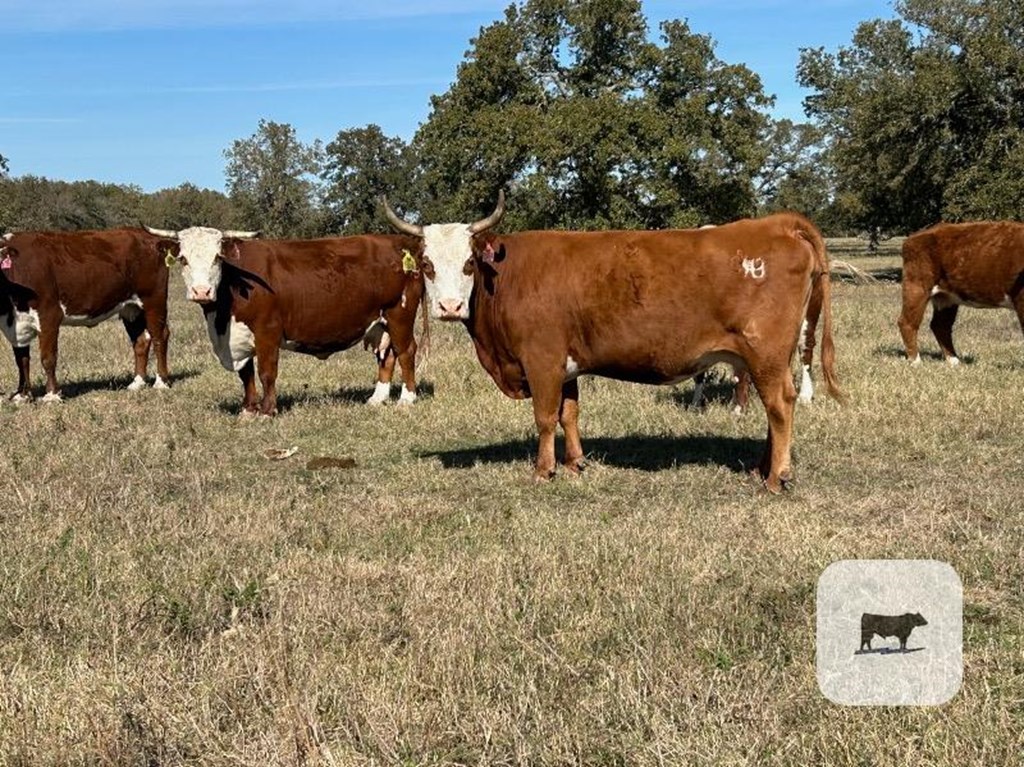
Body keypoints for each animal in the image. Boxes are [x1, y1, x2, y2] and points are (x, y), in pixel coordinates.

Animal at [0, 226, 173, 401]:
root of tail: (146, 235)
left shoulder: (49, 315)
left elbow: (48, 358)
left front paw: (52, 395)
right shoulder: (15, 325)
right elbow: (21, 360)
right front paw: (22, 395)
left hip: (154, 300)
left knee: (160, 336)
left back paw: (161, 382)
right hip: (131, 308)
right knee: (141, 340)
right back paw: (137, 383)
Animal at [146, 224, 425, 415]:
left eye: (217, 258)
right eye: (183, 259)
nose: (201, 292)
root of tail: (400, 242)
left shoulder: (267, 331)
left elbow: (266, 372)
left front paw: (268, 409)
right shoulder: (240, 336)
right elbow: (246, 374)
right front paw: (248, 409)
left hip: (399, 314)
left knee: (406, 351)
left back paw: (407, 398)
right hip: (381, 322)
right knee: (387, 355)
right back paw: (377, 398)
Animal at [385, 192, 839, 491]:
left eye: (468, 263)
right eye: (426, 264)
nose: (449, 306)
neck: (507, 276)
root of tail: (774, 223)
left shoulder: (542, 359)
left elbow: (545, 417)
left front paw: (543, 470)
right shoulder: (566, 365)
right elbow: (569, 414)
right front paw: (575, 464)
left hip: (766, 353)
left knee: (780, 405)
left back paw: (777, 476)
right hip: (761, 357)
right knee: (774, 407)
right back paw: (762, 468)